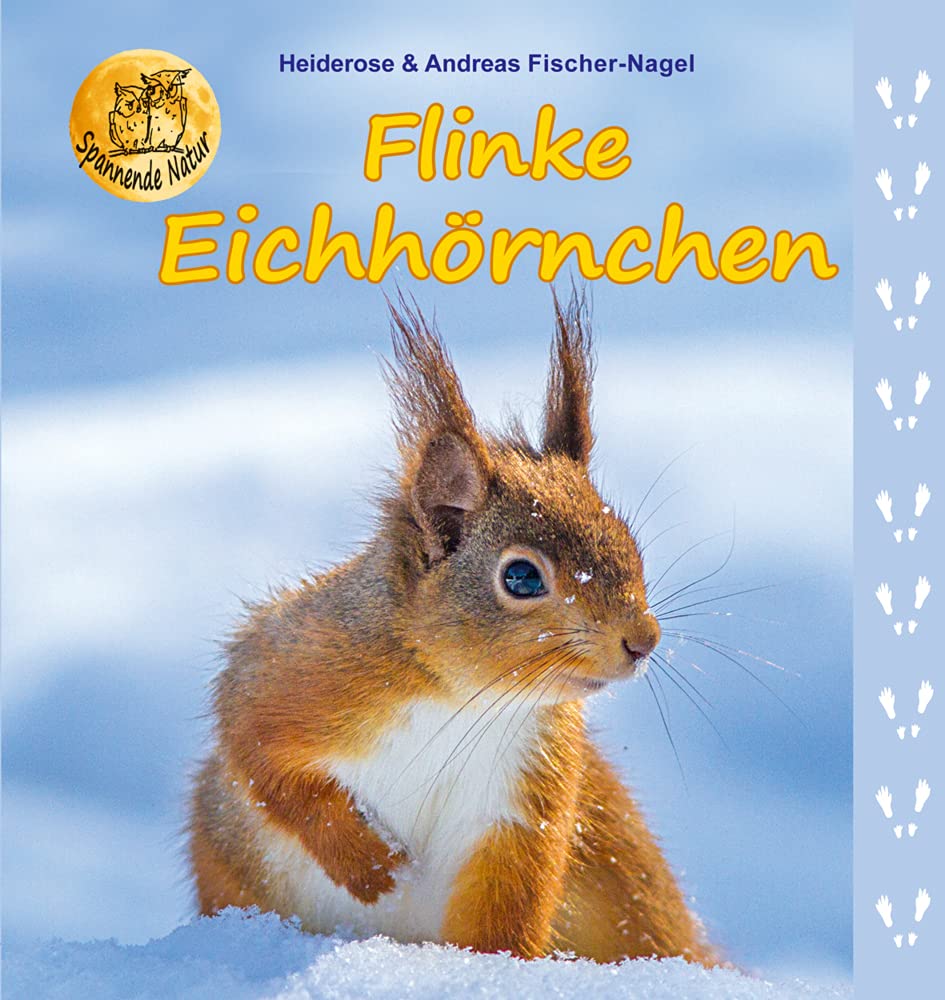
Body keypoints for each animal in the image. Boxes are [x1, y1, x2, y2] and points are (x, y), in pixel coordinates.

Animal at [188, 290, 717, 966]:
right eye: (521, 577)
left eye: (629, 542)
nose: (643, 642)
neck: (462, 698)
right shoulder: (293, 669)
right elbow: (262, 757)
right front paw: (373, 870)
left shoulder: (523, 803)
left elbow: (503, 911)